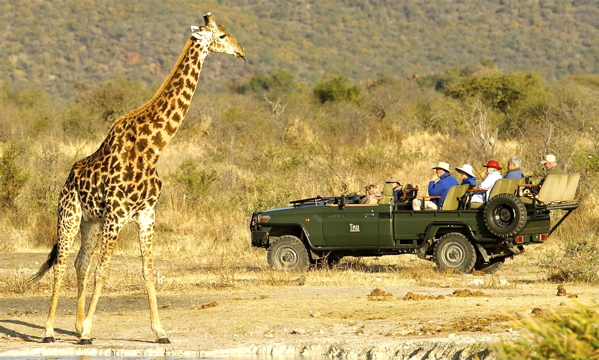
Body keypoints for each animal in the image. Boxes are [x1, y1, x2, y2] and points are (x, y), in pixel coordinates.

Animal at [29, 13, 246, 346]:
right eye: (221, 35)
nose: (241, 52)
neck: (153, 148)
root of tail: (67, 179)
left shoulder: (146, 215)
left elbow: (147, 271)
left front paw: (160, 332)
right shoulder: (117, 216)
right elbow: (104, 271)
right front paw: (88, 332)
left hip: (92, 222)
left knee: (80, 263)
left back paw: (76, 325)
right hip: (69, 216)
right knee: (62, 265)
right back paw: (51, 331)